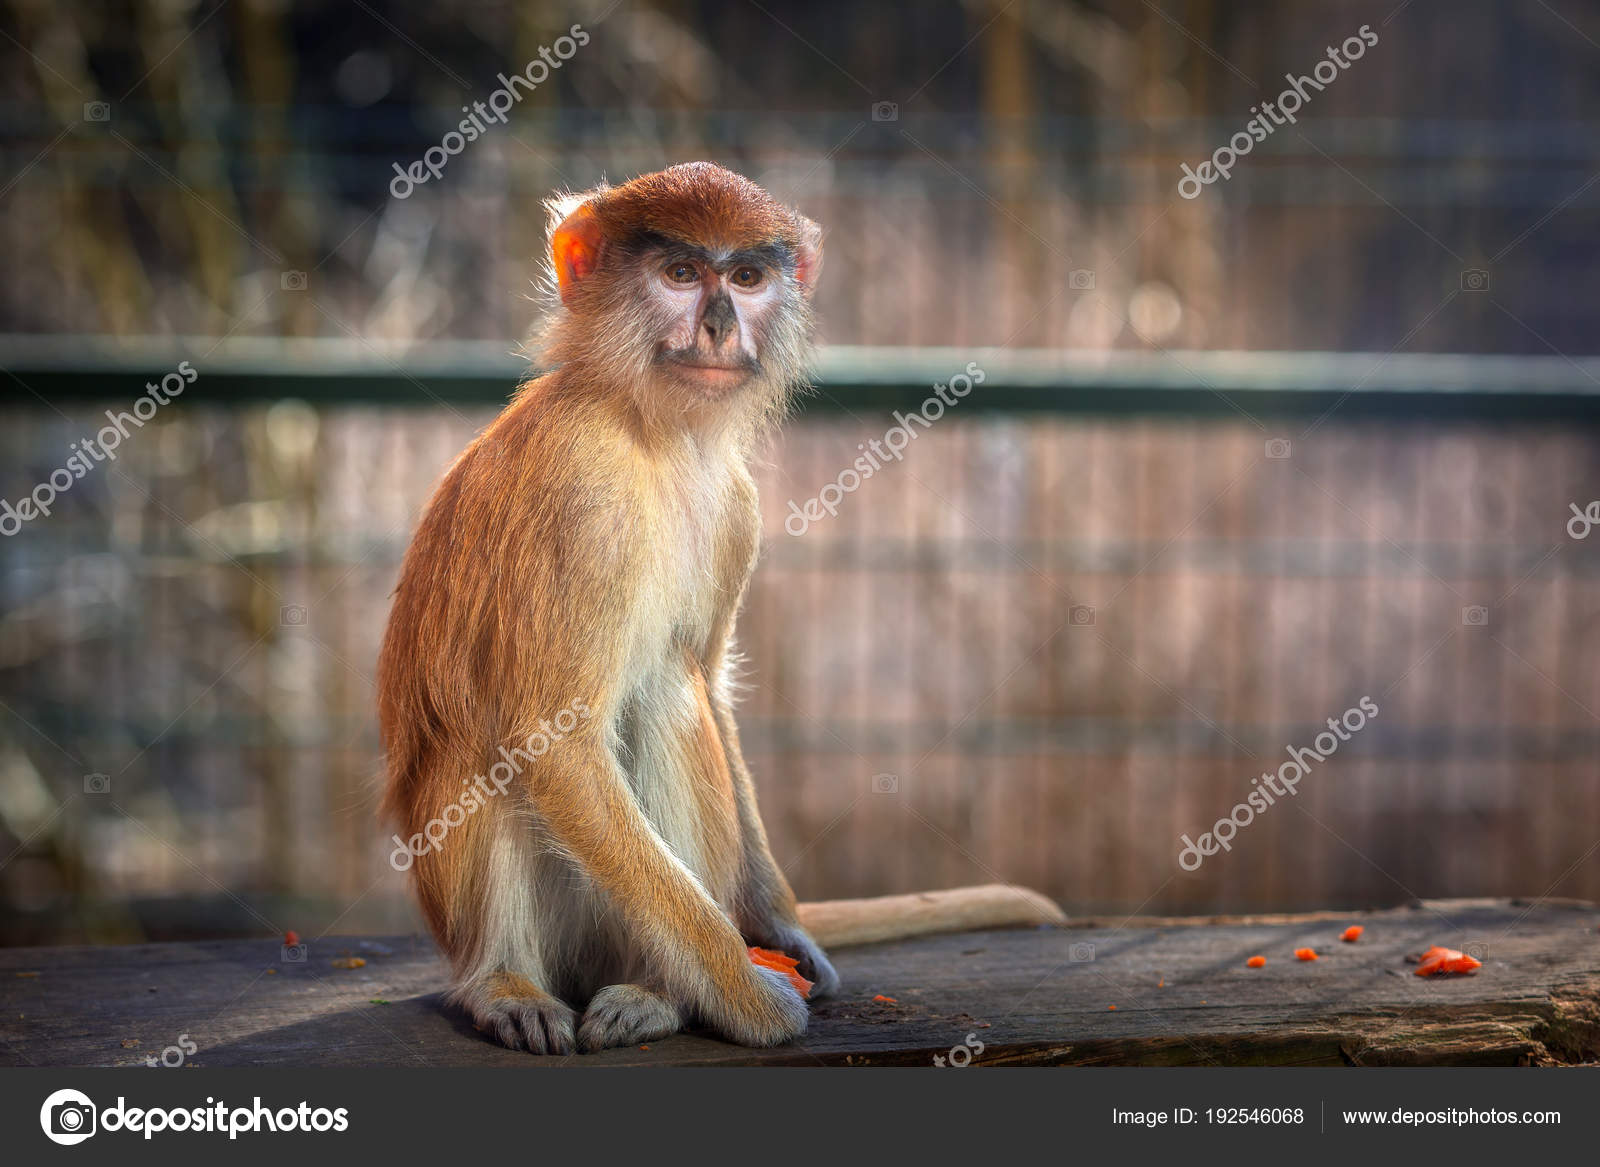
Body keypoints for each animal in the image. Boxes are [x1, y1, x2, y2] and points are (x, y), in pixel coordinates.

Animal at [378, 162, 1062, 1054]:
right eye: (679, 274)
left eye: (745, 278)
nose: (717, 327)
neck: (654, 429)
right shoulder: (580, 485)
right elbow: (549, 738)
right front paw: (748, 994)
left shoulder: (738, 503)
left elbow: (706, 679)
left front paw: (778, 925)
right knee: (491, 752)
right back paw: (508, 984)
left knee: (672, 690)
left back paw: (660, 990)